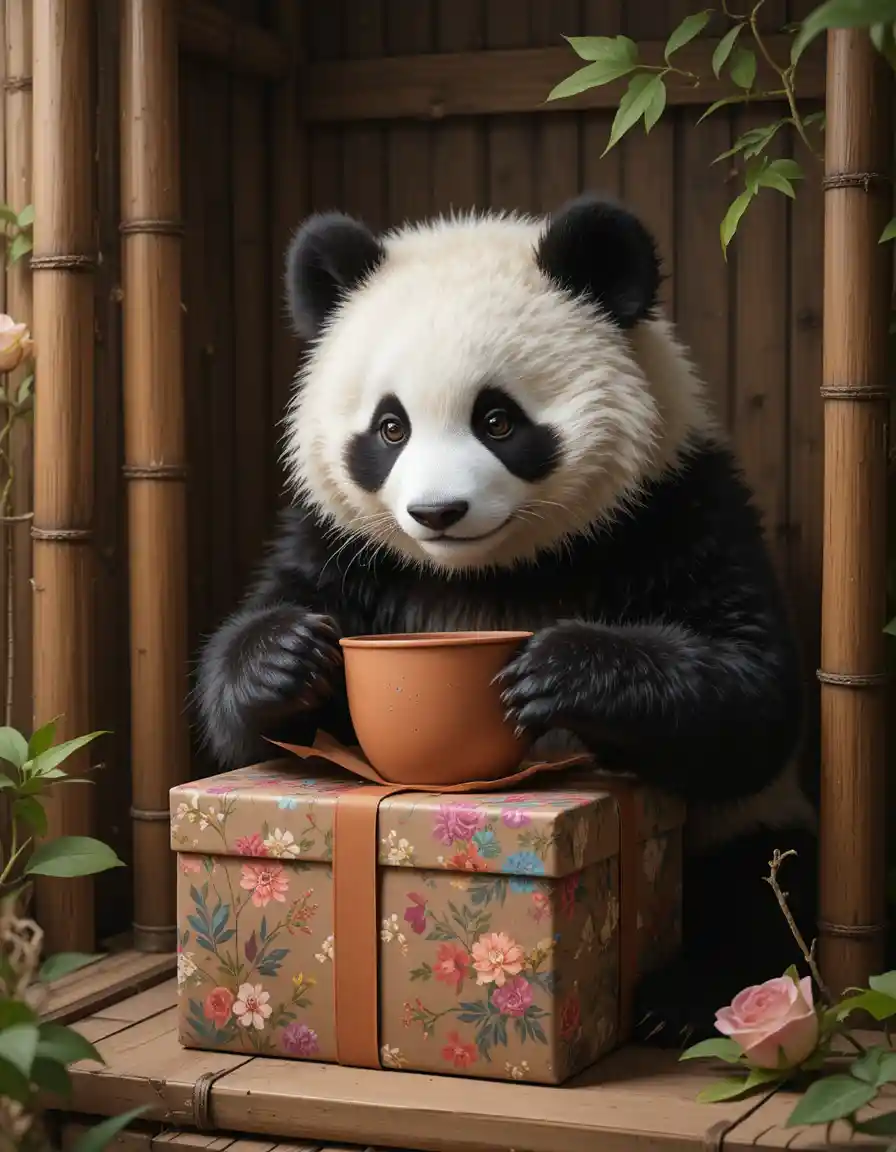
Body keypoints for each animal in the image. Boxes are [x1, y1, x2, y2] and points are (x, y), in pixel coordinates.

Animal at [194, 193, 818, 1046]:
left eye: (498, 420)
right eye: (390, 427)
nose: (438, 512)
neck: (489, 568)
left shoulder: (673, 509)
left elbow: (753, 691)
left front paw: (560, 672)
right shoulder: (343, 548)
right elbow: (248, 722)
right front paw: (287, 660)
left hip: (745, 830)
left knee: (757, 885)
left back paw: (680, 999)